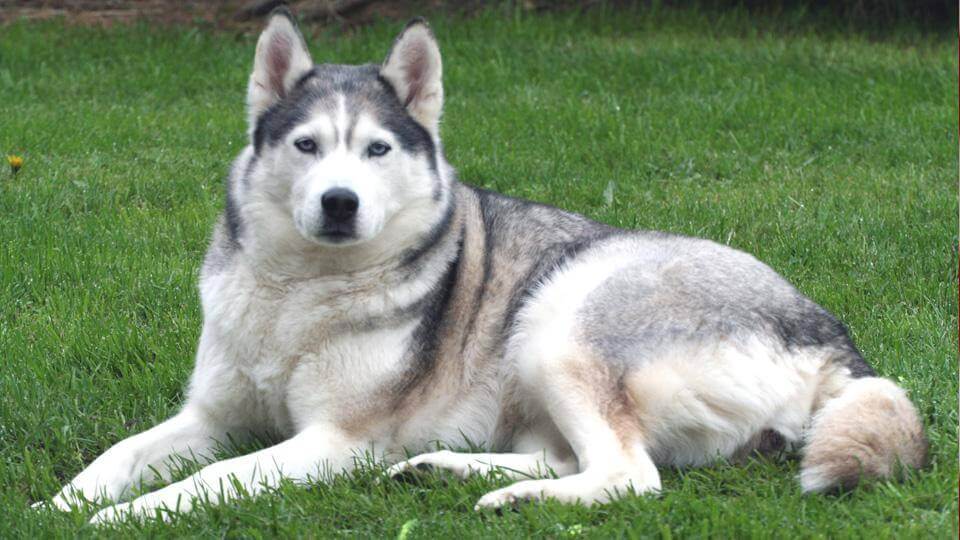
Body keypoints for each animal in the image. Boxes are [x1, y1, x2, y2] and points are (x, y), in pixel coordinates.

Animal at [41, 8, 928, 524]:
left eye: (376, 149)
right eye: (307, 145)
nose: (339, 203)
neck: (299, 294)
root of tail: (832, 333)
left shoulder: (330, 442)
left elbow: (205, 482)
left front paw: (123, 518)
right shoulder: (211, 415)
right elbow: (116, 455)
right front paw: (62, 501)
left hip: (558, 320)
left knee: (627, 475)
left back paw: (512, 498)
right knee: (575, 455)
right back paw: (440, 470)